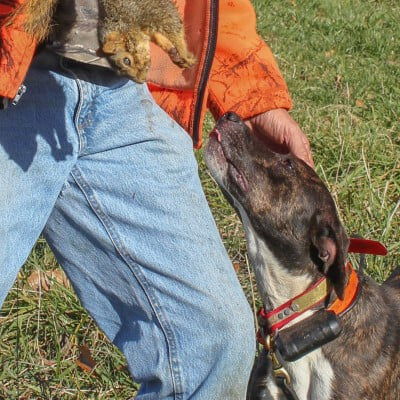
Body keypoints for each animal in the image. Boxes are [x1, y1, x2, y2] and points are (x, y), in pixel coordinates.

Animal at [3, 0, 197, 83]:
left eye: (126, 60)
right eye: (121, 69)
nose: (140, 81)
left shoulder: (155, 12)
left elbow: (175, 31)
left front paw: (185, 55)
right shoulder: (147, 31)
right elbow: (161, 39)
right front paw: (175, 55)